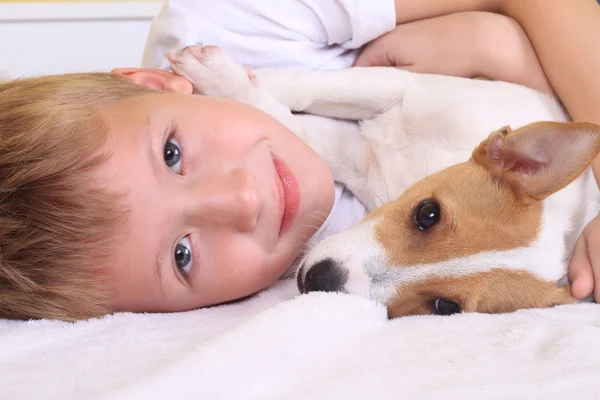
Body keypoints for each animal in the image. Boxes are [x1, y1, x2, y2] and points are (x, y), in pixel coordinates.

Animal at [168, 44, 600, 318]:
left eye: (444, 307)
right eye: (428, 213)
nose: (319, 279)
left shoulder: (360, 161)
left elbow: (299, 132)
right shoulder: (410, 85)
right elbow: (319, 87)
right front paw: (224, 78)